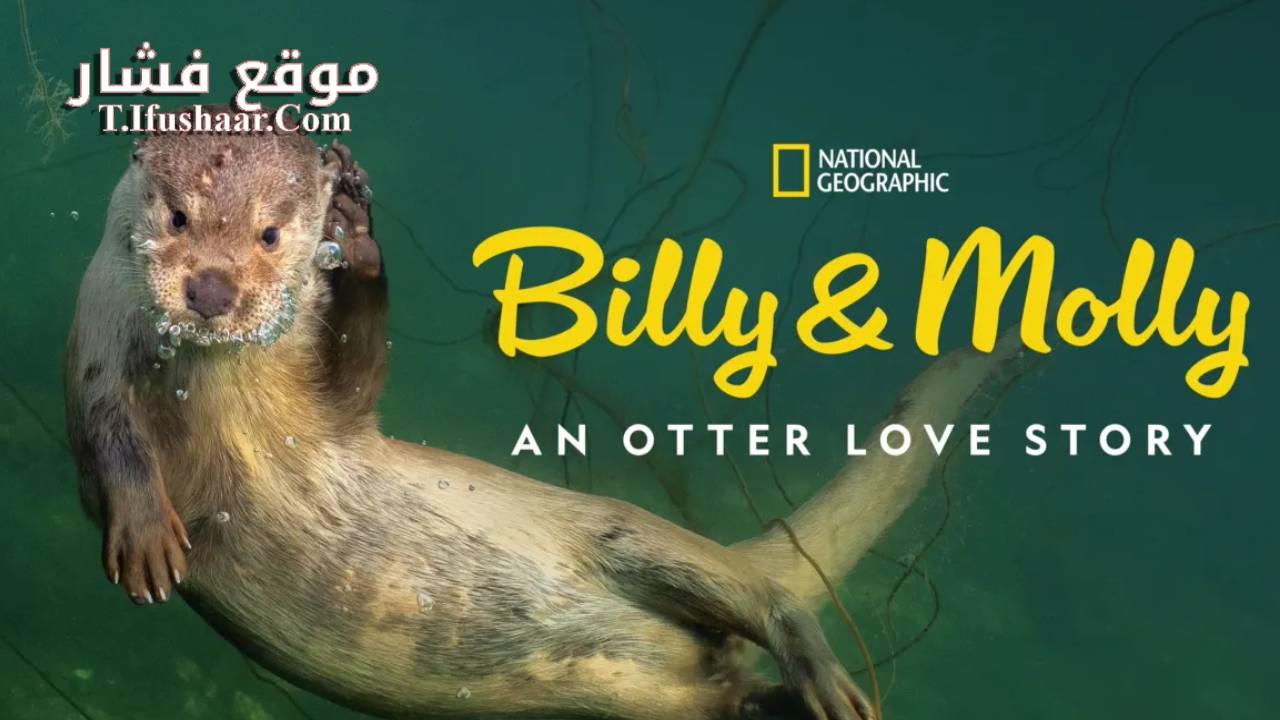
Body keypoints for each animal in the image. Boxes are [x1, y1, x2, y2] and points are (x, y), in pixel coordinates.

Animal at [64, 112, 1018, 720]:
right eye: (177, 215)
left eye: (272, 232)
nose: (212, 288)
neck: (232, 408)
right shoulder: (94, 357)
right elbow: (111, 443)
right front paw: (147, 536)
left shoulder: (331, 414)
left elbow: (359, 379)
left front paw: (360, 234)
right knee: (727, 689)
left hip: (629, 538)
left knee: (762, 596)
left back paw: (827, 680)